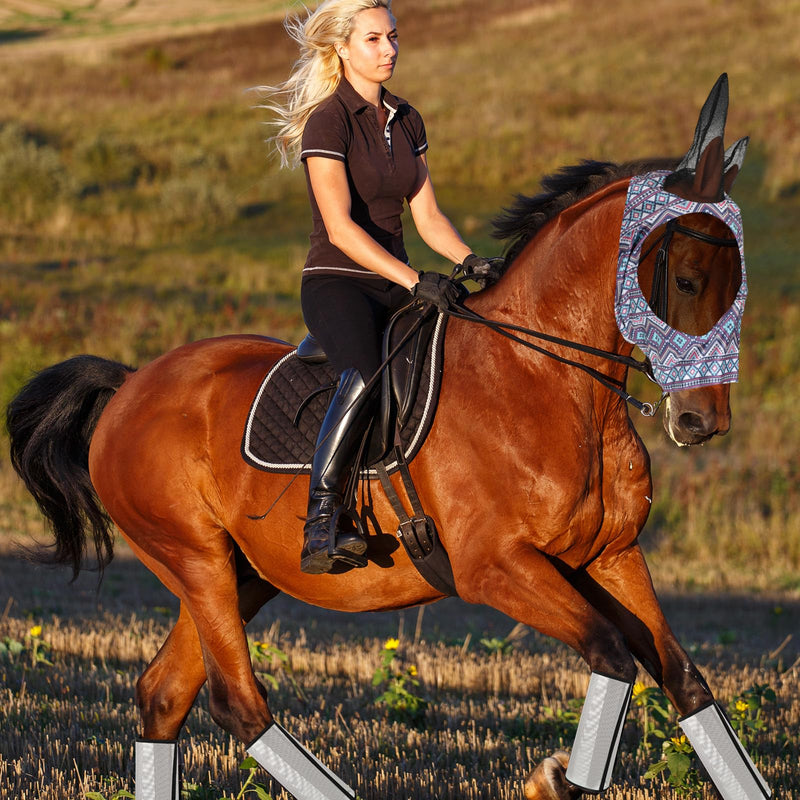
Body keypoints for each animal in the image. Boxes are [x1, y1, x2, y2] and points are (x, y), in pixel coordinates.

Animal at [6, 75, 767, 800]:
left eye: (739, 285)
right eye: (687, 279)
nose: (702, 422)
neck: (549, 379)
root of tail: (130, 385)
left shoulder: (611, 558)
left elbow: (683, 680)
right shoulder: (496, 568)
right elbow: (611, 655)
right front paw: (550, 780)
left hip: (239, 575)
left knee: (165, 695)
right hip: (194, 563)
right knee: (238, 705)